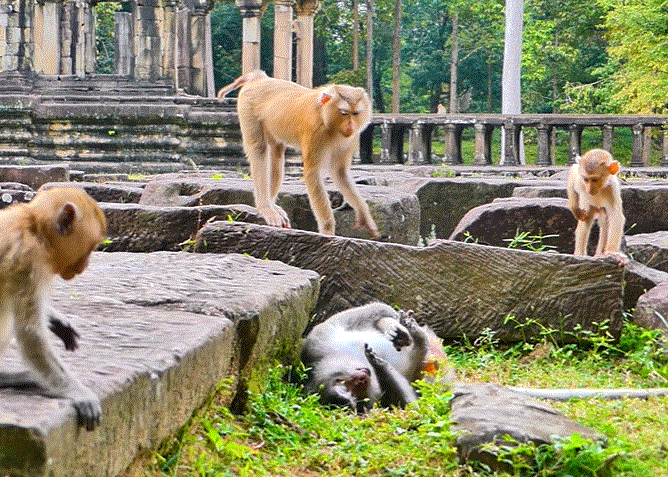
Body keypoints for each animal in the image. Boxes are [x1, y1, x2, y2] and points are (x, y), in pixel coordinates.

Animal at [0, 187, 106, 431]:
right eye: (91, 248)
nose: (85, 266)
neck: (34, 228)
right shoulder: (26, 260)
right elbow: (30, 332)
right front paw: (78, 391)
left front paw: (57, 320)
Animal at [218, 70, 379, 238]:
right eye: (344, 113)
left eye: (356, 113)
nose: (351, 126)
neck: (325, 117)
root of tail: (260, 78)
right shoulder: (315, 132)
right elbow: (312, 173)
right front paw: (327, 231)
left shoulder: (351, 138)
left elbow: (340, 172)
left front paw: (364, 215)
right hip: (248, 107)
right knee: (259, 149)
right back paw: (265, 207)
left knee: (276, 153)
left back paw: (272, 204)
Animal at [301, 302, 447, 413]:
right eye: (355, 397)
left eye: (340, 381)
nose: (362, 379)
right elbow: (413, 407)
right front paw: (380, 365)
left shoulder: (317, 343)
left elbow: (375, 311)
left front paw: (395, 327)